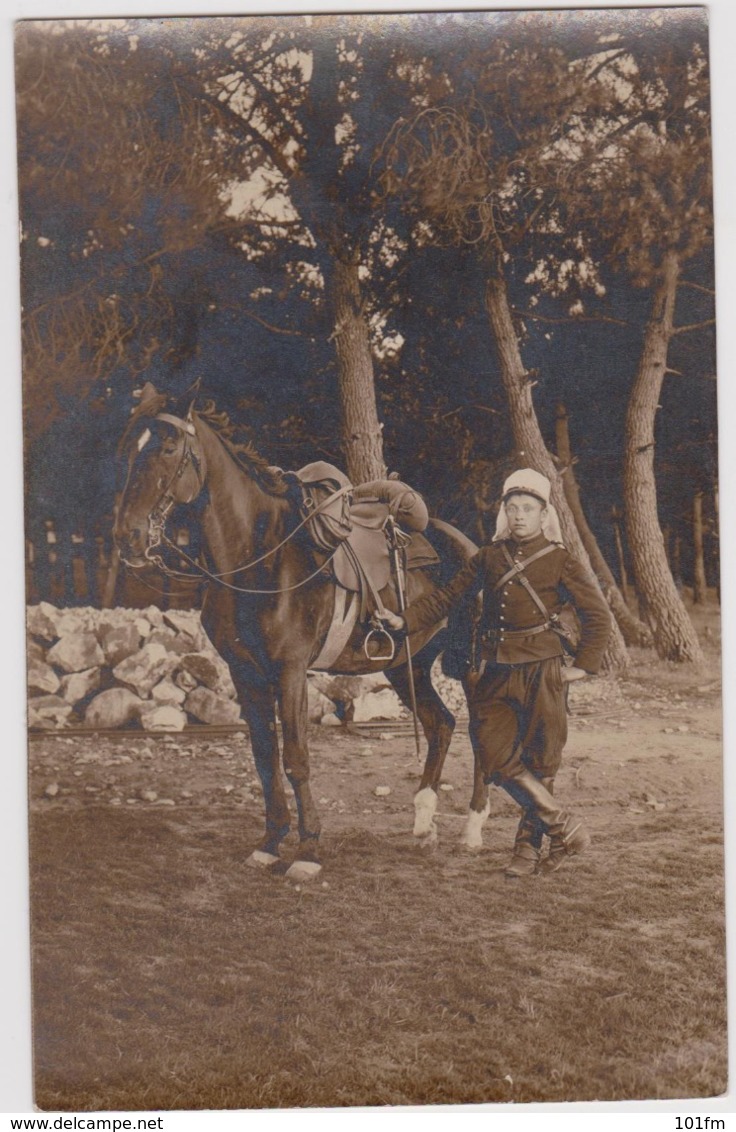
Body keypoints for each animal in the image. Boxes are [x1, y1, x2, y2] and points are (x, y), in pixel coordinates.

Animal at [111, 389, 477, 882]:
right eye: (130, 450)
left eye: (168, 449)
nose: (127, 536)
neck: (261, 555)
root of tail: (470, 545)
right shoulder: (245, 672)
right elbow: (265, 757)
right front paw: (269, 843)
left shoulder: (290, 670)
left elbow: (296, 758)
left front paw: (308, 850)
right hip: (407, 665)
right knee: (442, 725)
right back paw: (424, 824)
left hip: (476, 666)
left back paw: (474, 830)